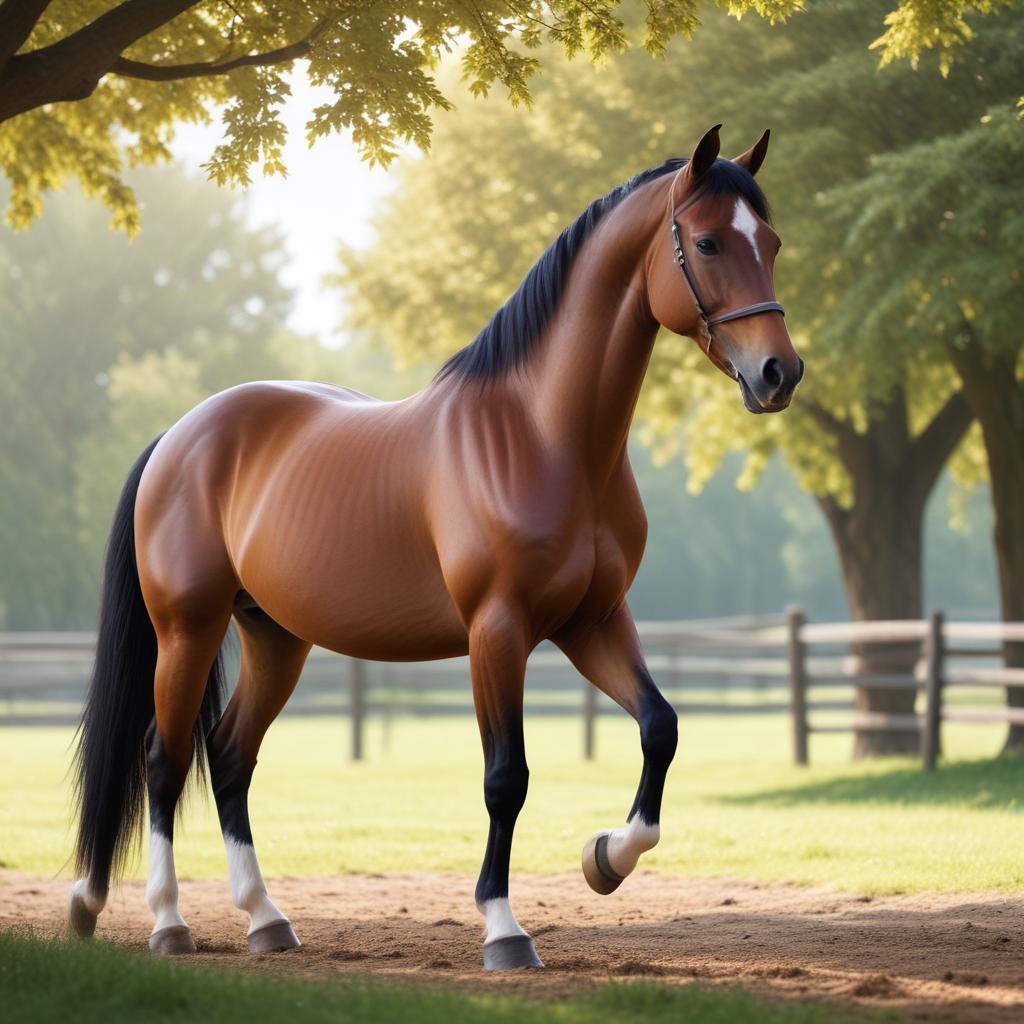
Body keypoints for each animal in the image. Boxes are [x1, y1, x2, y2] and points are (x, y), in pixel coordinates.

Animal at [69, 124, 802, 970]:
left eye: (771, 242)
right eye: (709, 242)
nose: (779, 372)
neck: (543, 436)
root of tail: (182, 434)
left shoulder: (592, 622)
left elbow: (661, 728)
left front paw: (605, 860)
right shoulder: (498, 629)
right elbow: (506, 778)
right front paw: (505, 929)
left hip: (275, 637)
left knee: (228, 757)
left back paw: (265, 919)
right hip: (187, 628)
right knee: (164, 760)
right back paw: (167, 922)